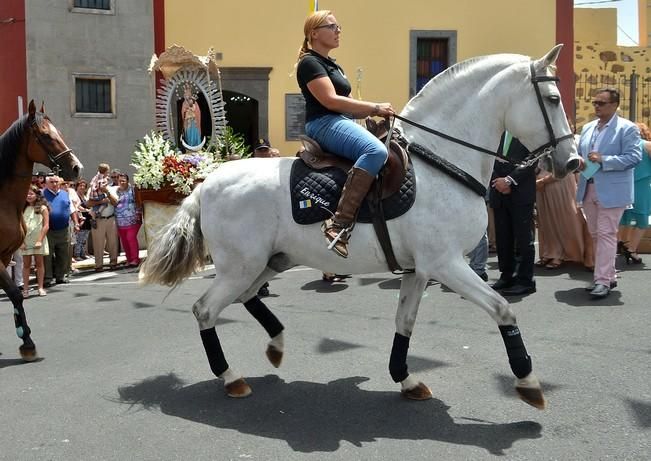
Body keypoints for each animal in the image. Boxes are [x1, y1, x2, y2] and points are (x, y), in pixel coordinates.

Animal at [140, 45, 580, 408]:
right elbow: (503, 309)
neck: (440, 161)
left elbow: (405, 322)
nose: (573, 161)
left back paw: (276, 343)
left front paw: (405, 379)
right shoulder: (446, 264)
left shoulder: (420, 270)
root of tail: (206, 184)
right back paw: (231, 377)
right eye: (553, 99)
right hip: (240, 265)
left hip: (269, 261)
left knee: (246, 297)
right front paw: (528, 382)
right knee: (205, 309)